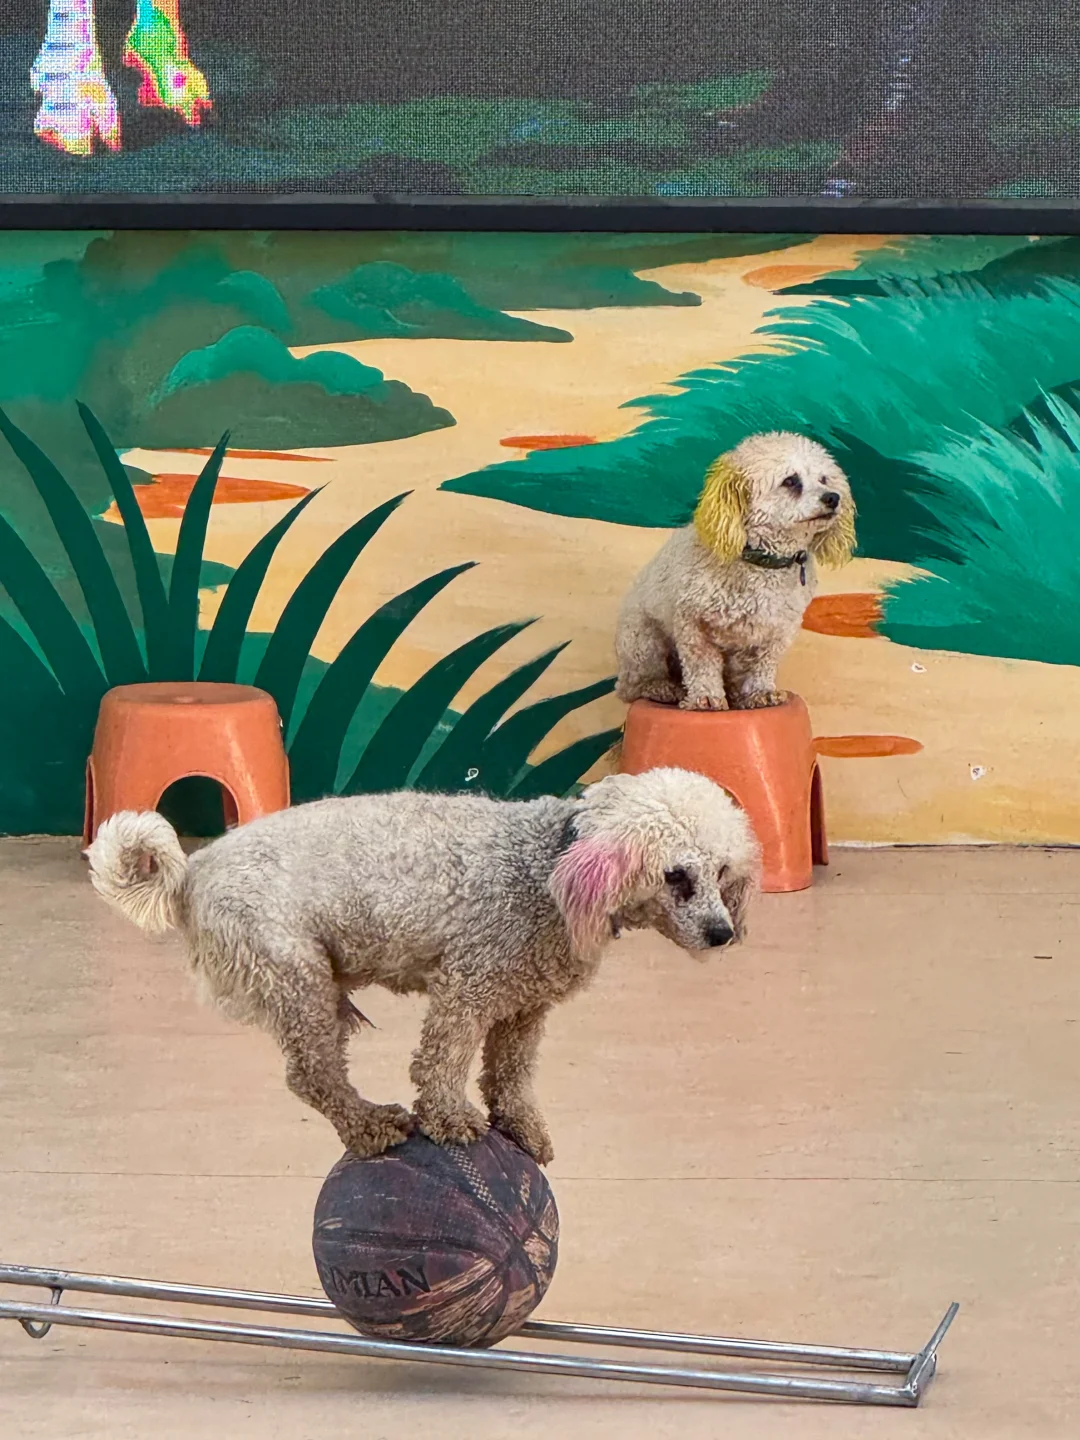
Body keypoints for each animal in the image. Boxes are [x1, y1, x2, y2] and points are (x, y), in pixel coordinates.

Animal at [86, 769, 758, 1164]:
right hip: (296, 979)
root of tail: (193, 872)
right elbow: (442, 1062)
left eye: (723, 871)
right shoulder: (468, 986)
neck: (548, 866)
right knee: (312, 1077)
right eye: (677, 875)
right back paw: (369, 1126)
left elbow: (511, 1075)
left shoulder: (524, 1005)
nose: (722, 933)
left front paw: (520, 1126)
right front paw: (450, 1118)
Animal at [615, 432, 855, 711]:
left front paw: (760, 693)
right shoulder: (693, 624)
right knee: (632, 686)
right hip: (642, 640)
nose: (833, 497)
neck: (760, 563)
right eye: (790, 481)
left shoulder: (776, 631)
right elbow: (702, 665)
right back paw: (662, 688)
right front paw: (706, 697)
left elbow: (762, 666)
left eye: (823, 479)